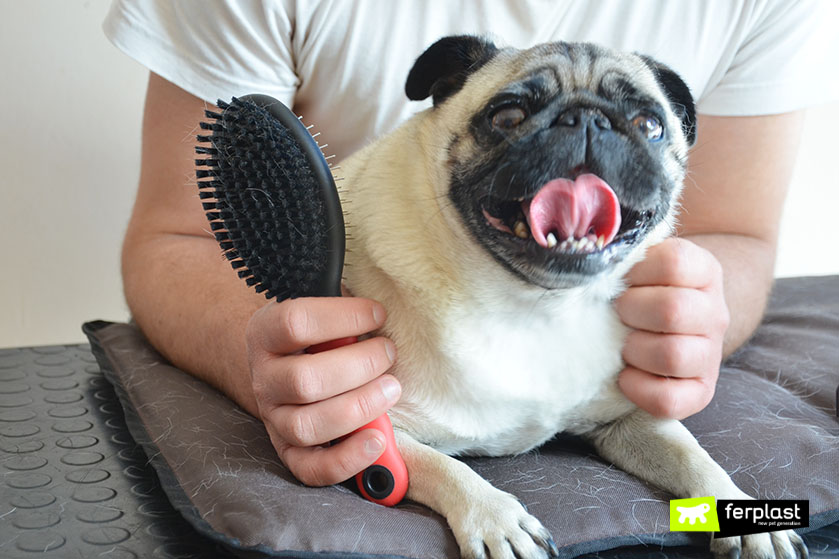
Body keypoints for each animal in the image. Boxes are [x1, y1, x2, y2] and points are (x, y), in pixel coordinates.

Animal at [338, 36, 812, 559]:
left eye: (650, 125)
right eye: (507, 116)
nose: (587, 120)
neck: (536, 304)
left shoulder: (631, 419)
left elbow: (697, 459)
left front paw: (745, 516)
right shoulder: (375, 427)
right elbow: (444, 467)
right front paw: (496, 517)